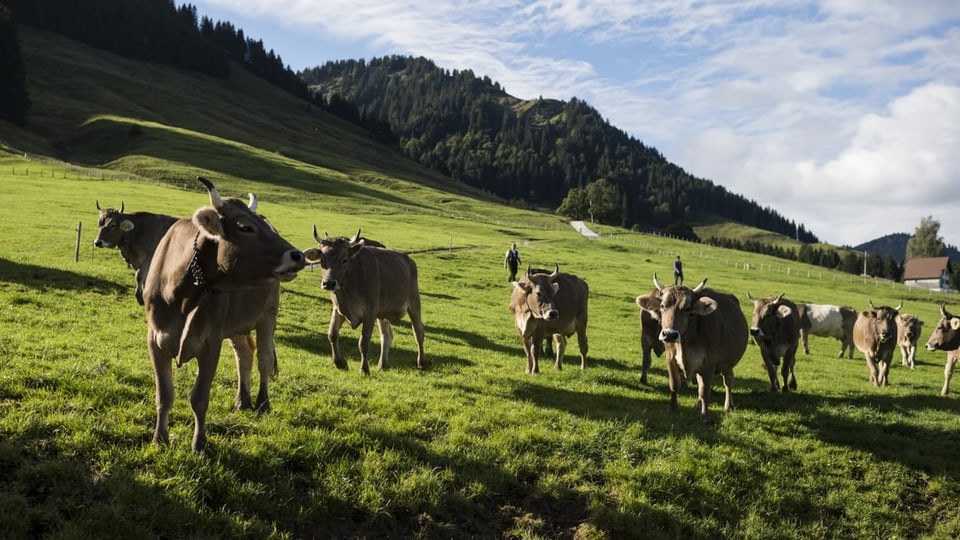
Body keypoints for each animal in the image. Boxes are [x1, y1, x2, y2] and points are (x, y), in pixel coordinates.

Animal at [94, 199, 278, 414]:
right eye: (100, 223)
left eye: (112, 225)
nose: (98, 242)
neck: (139, 230)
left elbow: (140, 278)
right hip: (238, 325)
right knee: (244, 352)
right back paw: (243, 401)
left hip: (267, 317)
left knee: (264, 357)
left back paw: (262, 403)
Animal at [304, 226, 424, 374]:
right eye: (322, 259)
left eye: (344, 260)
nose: (329, 283)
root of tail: (408, 260)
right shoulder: (338, 310)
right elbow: (332, 334)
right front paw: (340, 363)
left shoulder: (369, 313)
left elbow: (364, 343)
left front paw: (364, 369)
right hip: (382, 314)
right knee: (386, 336)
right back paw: (382, 364)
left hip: (414, 304)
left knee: (418, 332)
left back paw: (421, 362)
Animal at [636, 274, 752, 422]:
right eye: (662, 306)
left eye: (687, 309)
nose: (669, 334)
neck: (686, 342)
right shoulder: (671, 359)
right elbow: (674, 385)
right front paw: (673, 408)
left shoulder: (708, 363)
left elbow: (705, 391)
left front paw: (705, 416)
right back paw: (698, 405)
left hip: (728, 363)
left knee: (728, 381)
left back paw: (728, 405)